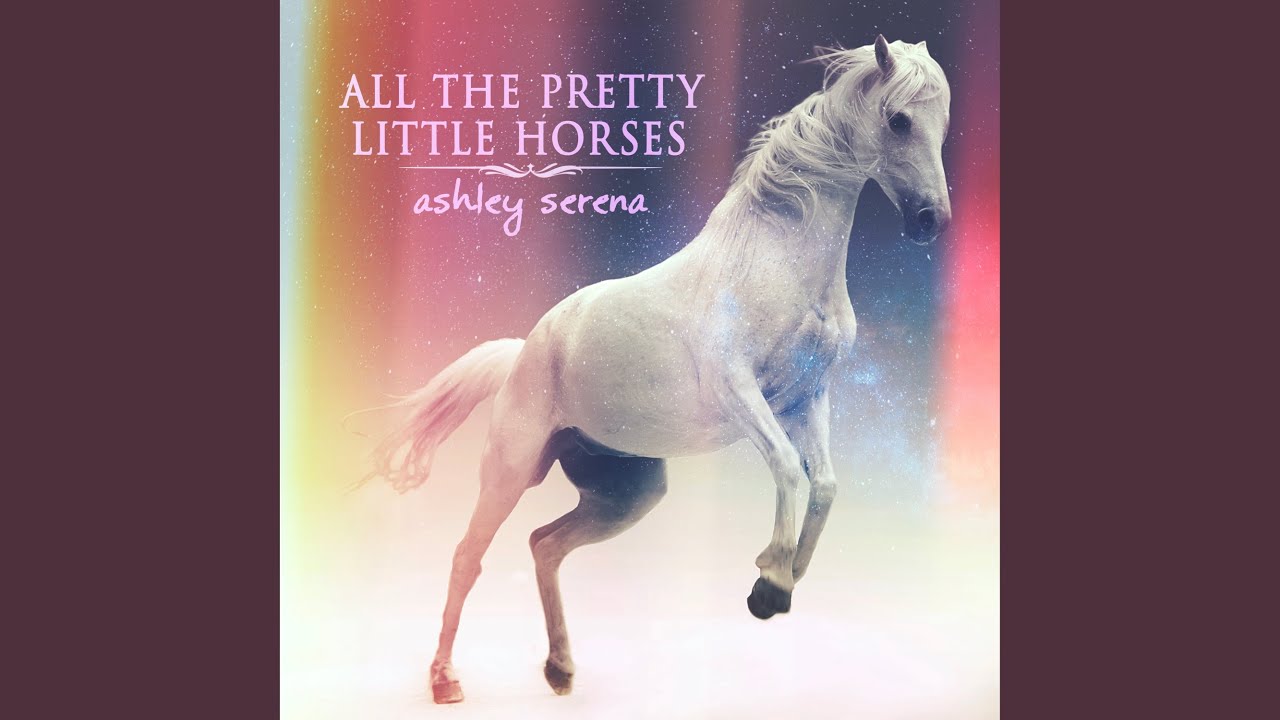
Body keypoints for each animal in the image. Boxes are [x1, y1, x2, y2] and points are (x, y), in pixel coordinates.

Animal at [360, 35, 951, 704]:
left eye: (941, 124)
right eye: (899, 120)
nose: (931, 221)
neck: (774, 262)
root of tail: (524, 353)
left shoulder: (808, 397)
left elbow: (824, 484)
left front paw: (783, 578)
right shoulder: (739, 392)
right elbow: (787, 469)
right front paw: (770, 583)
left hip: (629, 493)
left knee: (545, 546)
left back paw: (560, 669)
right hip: (510, 470)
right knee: (468, 556)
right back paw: (445, 681)